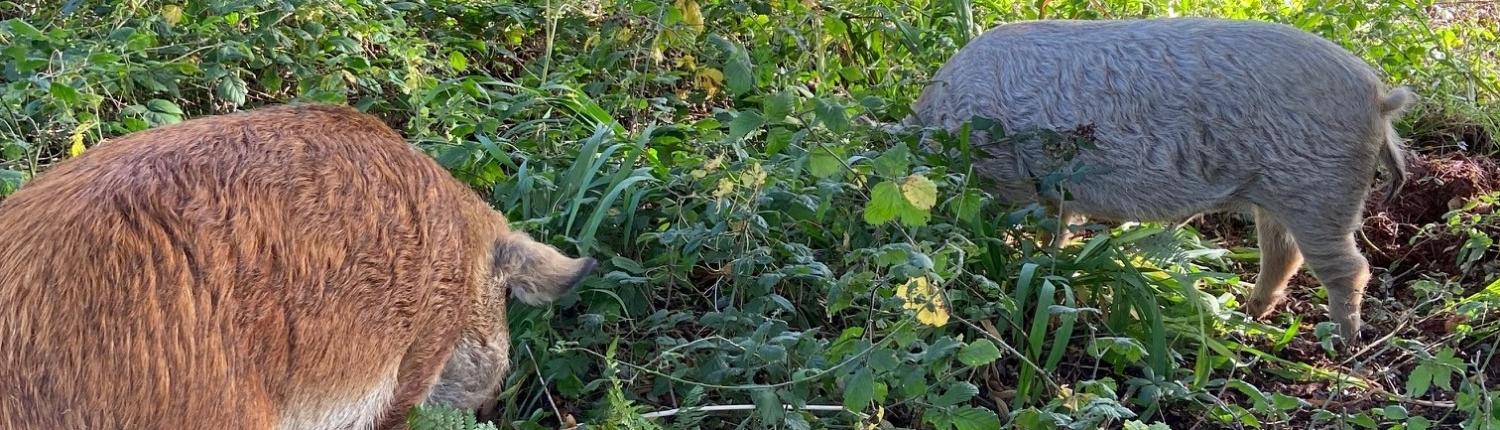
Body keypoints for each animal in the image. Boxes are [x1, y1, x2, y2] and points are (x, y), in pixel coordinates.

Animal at [908, 18, 1416, 344]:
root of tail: (1378, 97)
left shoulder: (1015, 180)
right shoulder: (1055, 191)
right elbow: (1059, 229)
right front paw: (1056, 257)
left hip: (1319, 191)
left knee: (1349, 267)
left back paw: (1343, 342)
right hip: (1278, 196)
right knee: (1283, 254)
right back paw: (1248, 314)